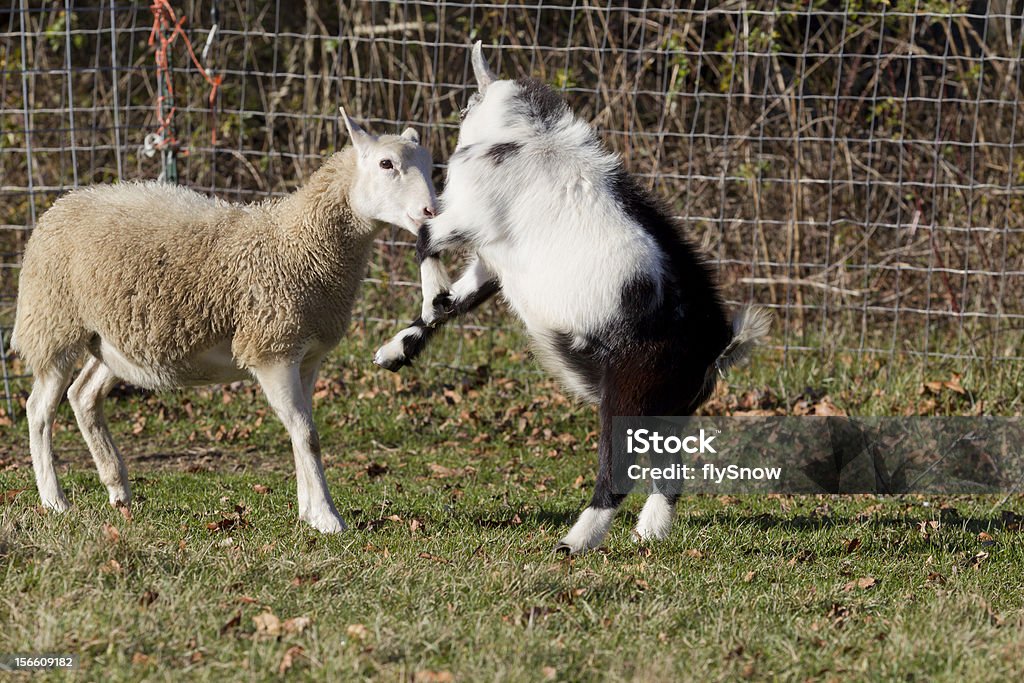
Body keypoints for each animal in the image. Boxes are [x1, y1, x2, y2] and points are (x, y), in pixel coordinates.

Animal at [12, 109, 436, 532]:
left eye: (431, 165)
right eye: (386, 164)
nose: (432, 212)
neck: (300, 242)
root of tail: (65, 201)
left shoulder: (308, 356)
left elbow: (304, 432)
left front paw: (308, 509)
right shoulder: (272, 349)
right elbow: (305, 433)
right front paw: (327, 517)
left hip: (113, 339)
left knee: (83, 395)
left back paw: (117, 488)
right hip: (53, 321)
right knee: (39, 410)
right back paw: (54, 500)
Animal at [374, 42, 770, 557]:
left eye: (466, 106)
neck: (522, 137)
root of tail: (716, 346)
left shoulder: (466, 215)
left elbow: (424, 238)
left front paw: (428, 295)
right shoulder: (494, 261)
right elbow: (455, 302)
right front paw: (393, 351)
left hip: (627, 395)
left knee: (618, 473)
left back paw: (572, 543)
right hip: (666, 409)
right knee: (670, 471)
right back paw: (647, 533)